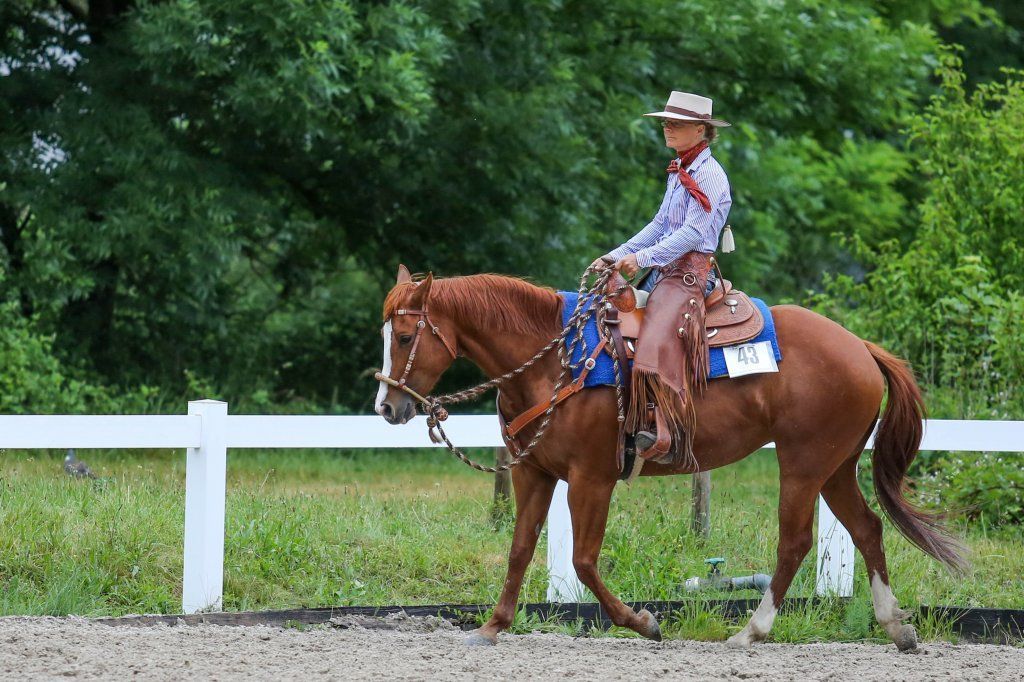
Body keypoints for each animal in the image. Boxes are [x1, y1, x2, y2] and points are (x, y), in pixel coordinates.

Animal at [374, 265, 964, 650]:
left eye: (403, 335)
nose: (387, 406)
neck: (555, 361)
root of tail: (862, 347)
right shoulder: (534, 473)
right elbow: (519, 550)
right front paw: (493, 627)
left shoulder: (591, 479)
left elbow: (584, 561)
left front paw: (643, 623)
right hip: (835, 466)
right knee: (867, 528)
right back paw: (896, 627)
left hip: (803, 463)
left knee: (795, 542)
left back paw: (750, 631)